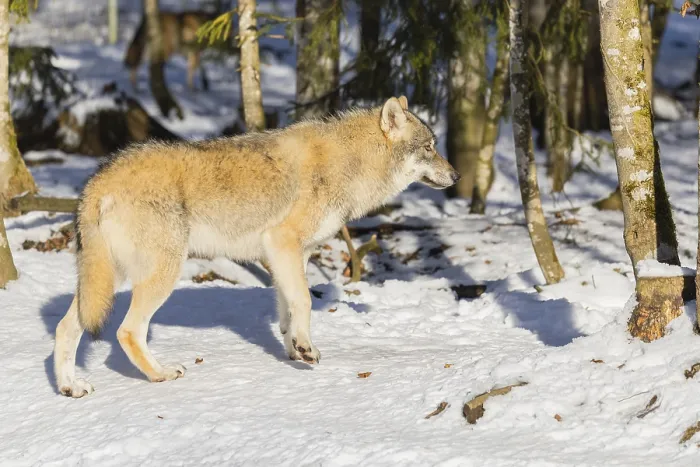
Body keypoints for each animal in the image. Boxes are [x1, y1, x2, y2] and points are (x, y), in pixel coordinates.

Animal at [53, 96, 460, 397]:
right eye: (429, 148)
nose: (456, 176)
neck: (350, 164)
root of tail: (98, 179)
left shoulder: (290, 255)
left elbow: (287, 310)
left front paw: (294, 349)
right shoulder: (283, 243)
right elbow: (305, 301)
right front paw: (307, 349)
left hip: (104, 283)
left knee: (65, 327)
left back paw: (71, 387)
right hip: (158, 276)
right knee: (127, 332)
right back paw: (161, 373)